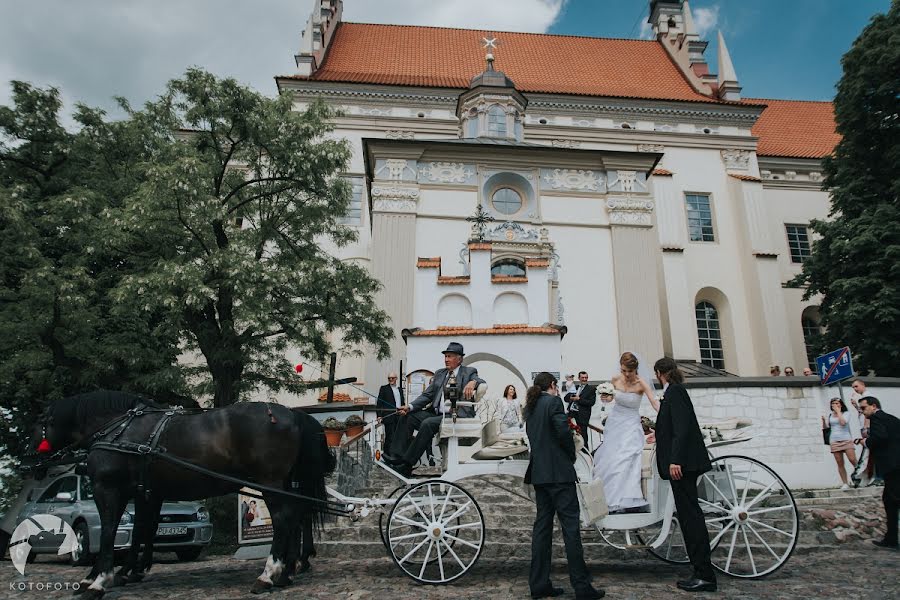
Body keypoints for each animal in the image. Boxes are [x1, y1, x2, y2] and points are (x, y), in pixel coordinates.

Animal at [34, 392, 338, 596]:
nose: (33, 463)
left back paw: (270, 574)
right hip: (283, 482)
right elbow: (144, 528)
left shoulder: (109, 488)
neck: (117, 430)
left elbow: (110, 530)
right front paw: (125, 571)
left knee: (285, 519)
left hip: (270, 482)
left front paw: (98, 580)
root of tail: (291, 414)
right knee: (295, 516)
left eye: (41, 424)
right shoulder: (147, 492)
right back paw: (285, 572)